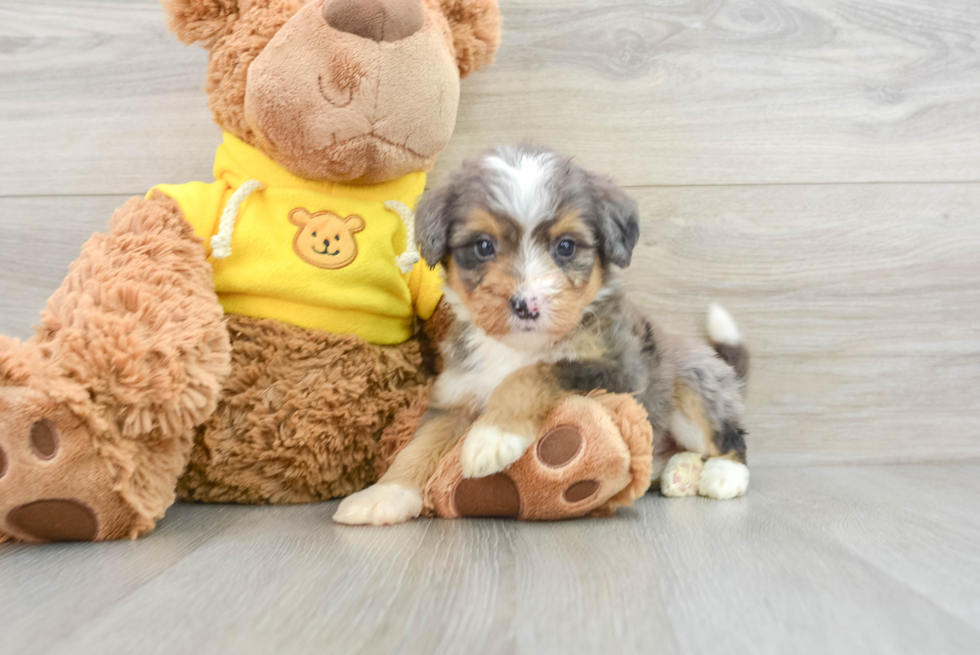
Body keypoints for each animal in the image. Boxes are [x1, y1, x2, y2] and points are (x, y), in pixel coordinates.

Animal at [334, 146, 752, 524]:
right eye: (483, 246)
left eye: (565, 246)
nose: (526, 305)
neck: (516, 348)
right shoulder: (457, 393)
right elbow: (419, 445)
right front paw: (384, 495)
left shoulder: (618, 370)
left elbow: (532, 375)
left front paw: (492, 437)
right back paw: (680, 473)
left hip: (692, 392)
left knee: (730, 440)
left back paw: (721, 476)